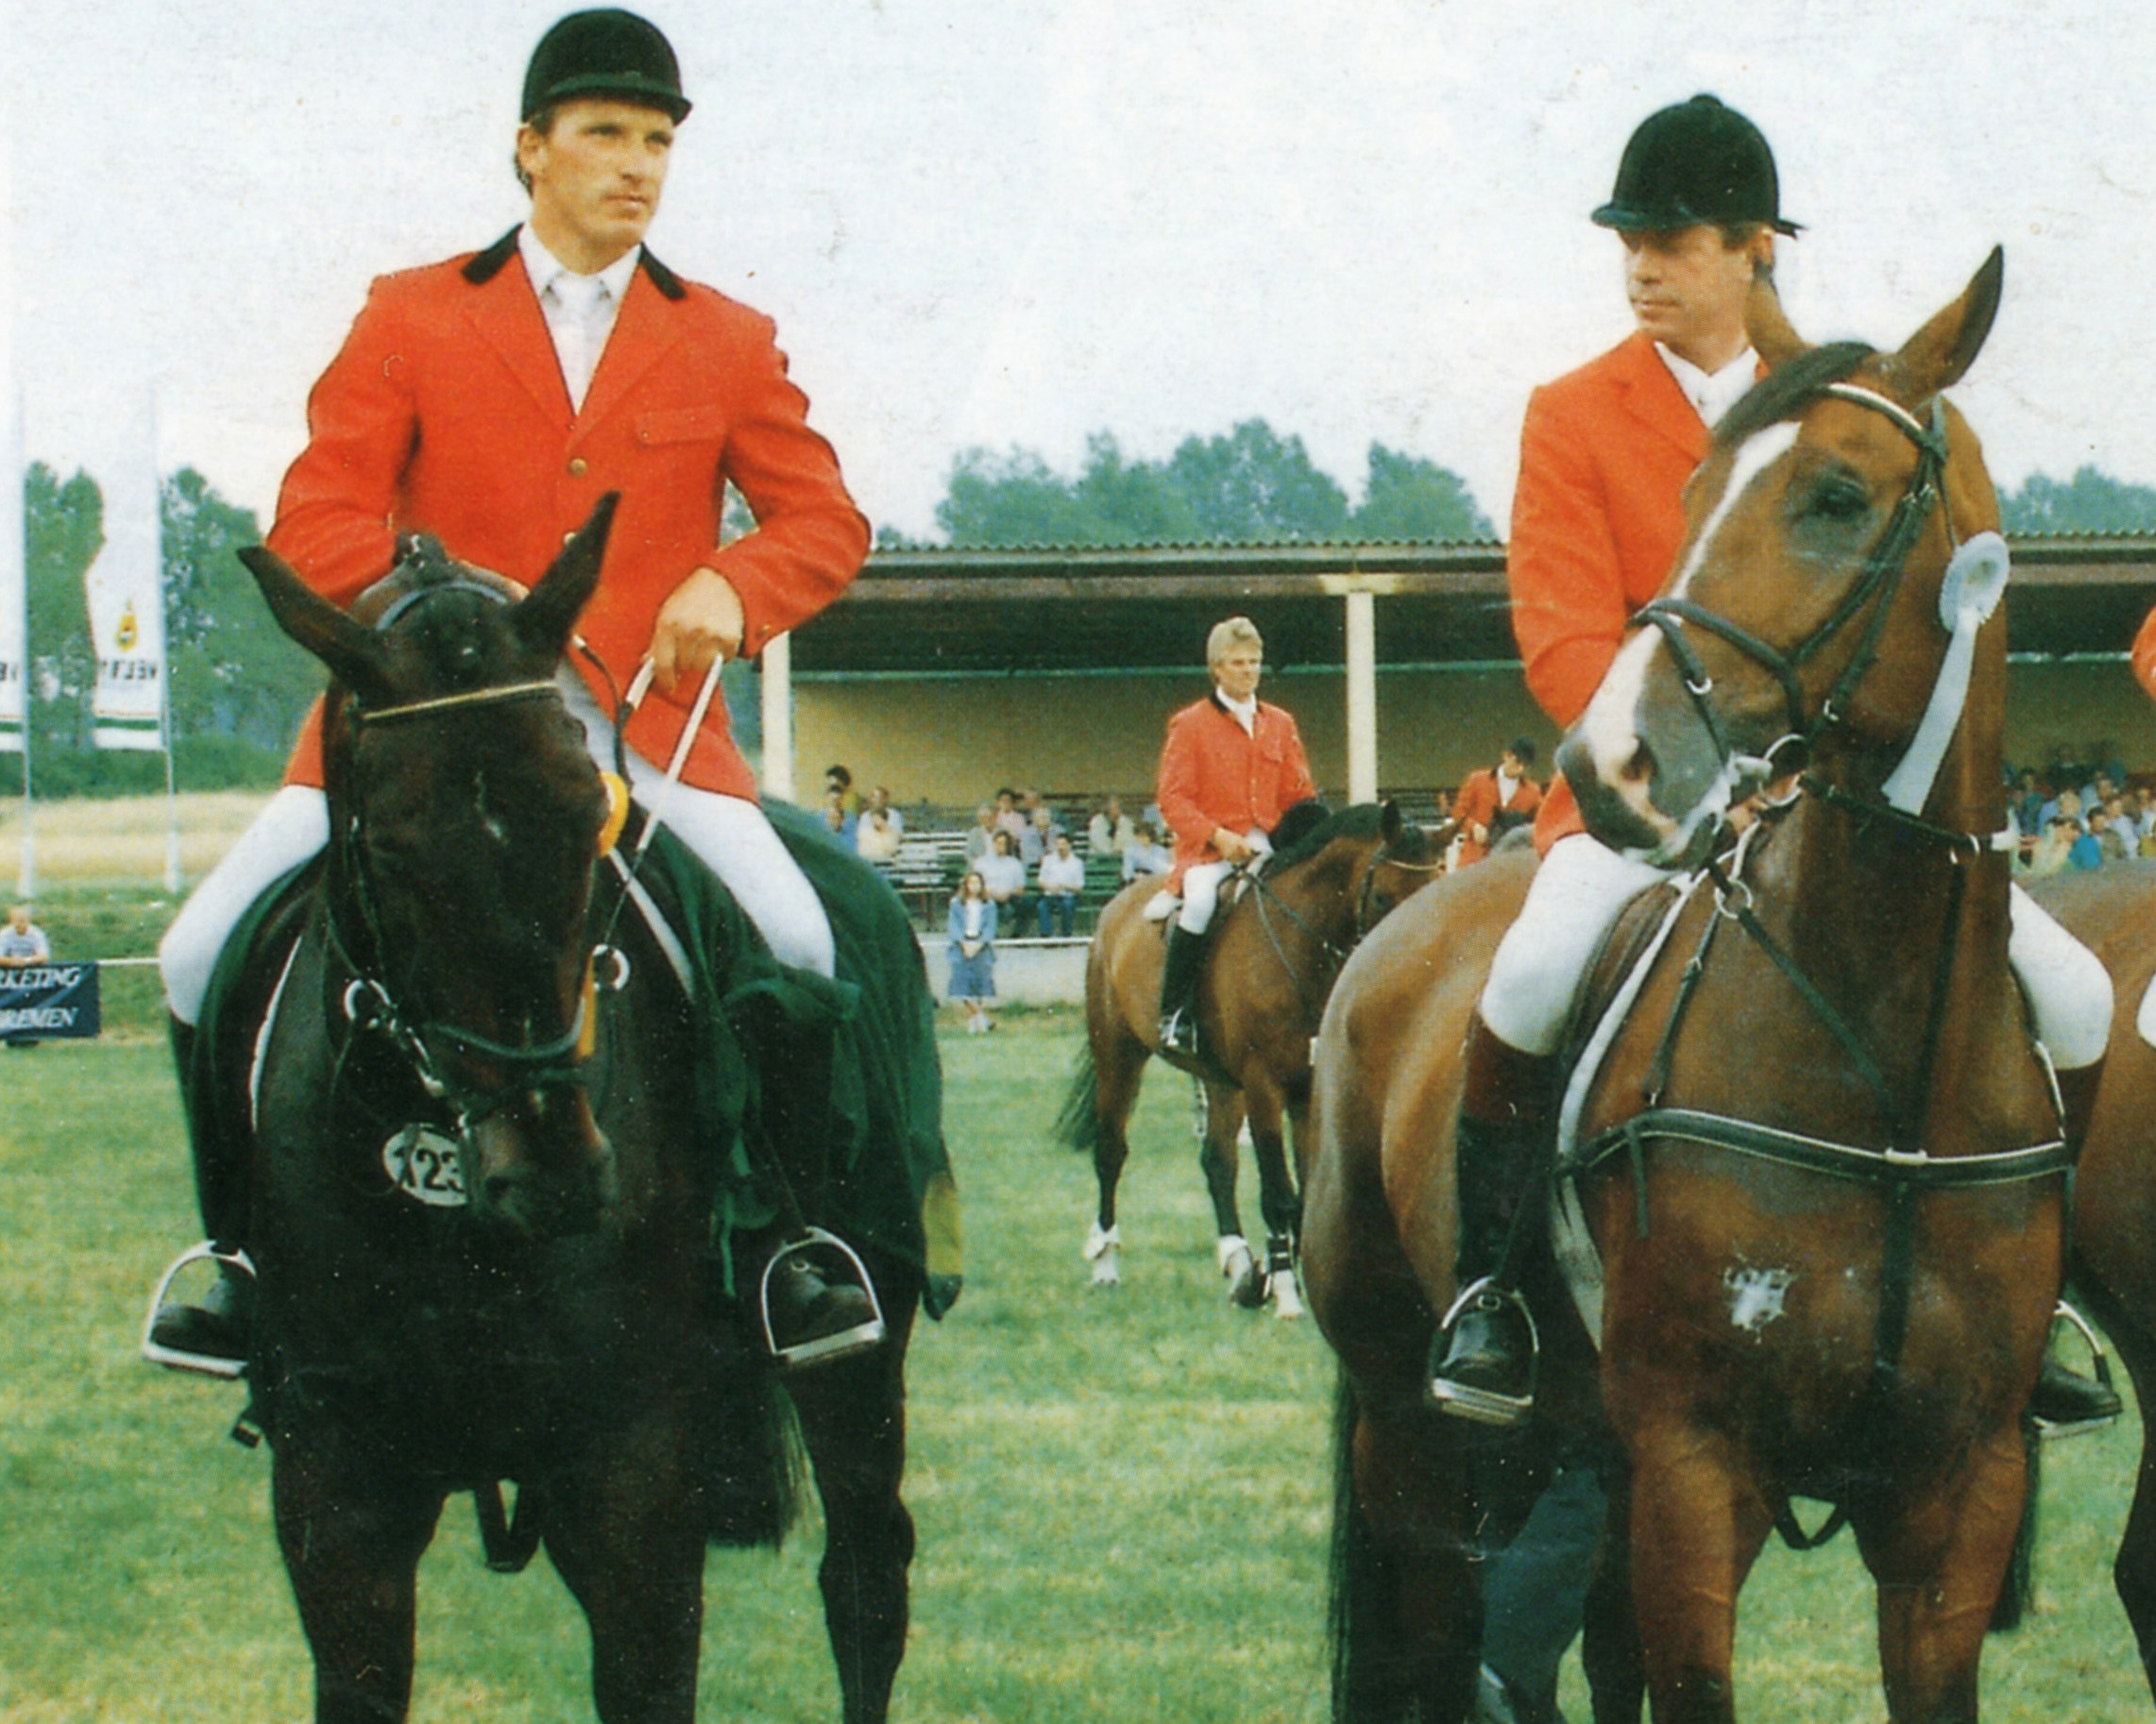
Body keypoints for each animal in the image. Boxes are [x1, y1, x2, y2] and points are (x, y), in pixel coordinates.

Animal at [223, 501, 923, 1724]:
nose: (550, 1176)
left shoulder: (630, 1472)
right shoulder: (337, 1477)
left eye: (587, 813)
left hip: (861, 1353)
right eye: (392, 843)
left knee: (865, 1581)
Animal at [1056, 802, 1440, 1310]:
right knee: (1110, 1153)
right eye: (1381, 896)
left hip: (1217, 1079)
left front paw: (1287, 1277)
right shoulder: (1264, 1087)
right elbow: (1278, 1192)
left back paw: (1238, 1264)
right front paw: (1288, 1291)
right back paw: (1105, 1262)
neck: (1298, 945)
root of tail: (1114, 909)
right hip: (1118, 1055)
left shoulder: (1305, 1089)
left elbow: (1305, 1192)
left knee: (1218, 1162)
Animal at [1301, 248, 2061, 1715]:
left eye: (1835, 495)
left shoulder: (1959, 1486)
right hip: (1413, 1430)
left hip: (1590, 1446)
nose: (1605, 770)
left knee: (1594, 1644)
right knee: (1437, 1626)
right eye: (1694, 495)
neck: (1888, 1068)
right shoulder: (1698, 1465)